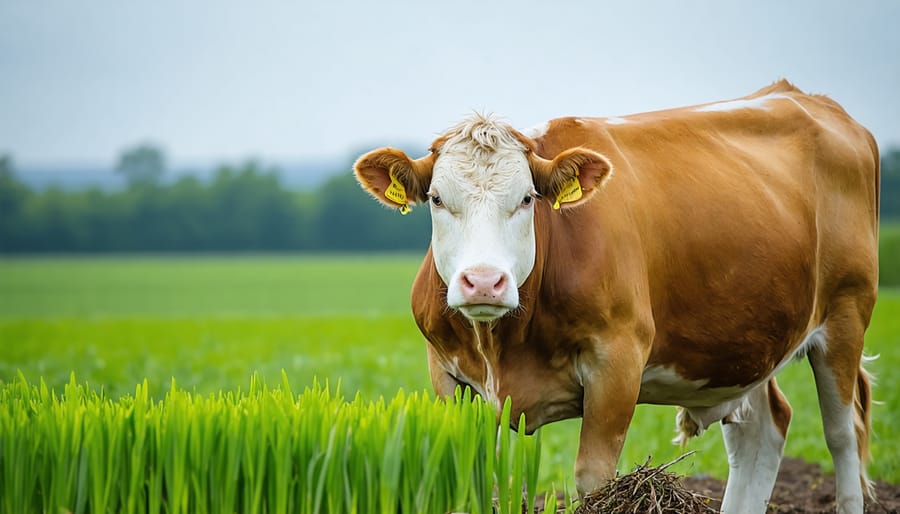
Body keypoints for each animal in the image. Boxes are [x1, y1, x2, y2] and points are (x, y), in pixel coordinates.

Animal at [353, 80, 880, 514]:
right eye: (438, 199)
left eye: (526, 199)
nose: (484, 282)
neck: (504, 345)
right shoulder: (446, 374)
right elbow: (472, 473)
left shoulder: (617, 360)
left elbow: (593, 478)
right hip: (745, 343)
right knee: (763, 431)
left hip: (846, 313)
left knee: (842, 435)